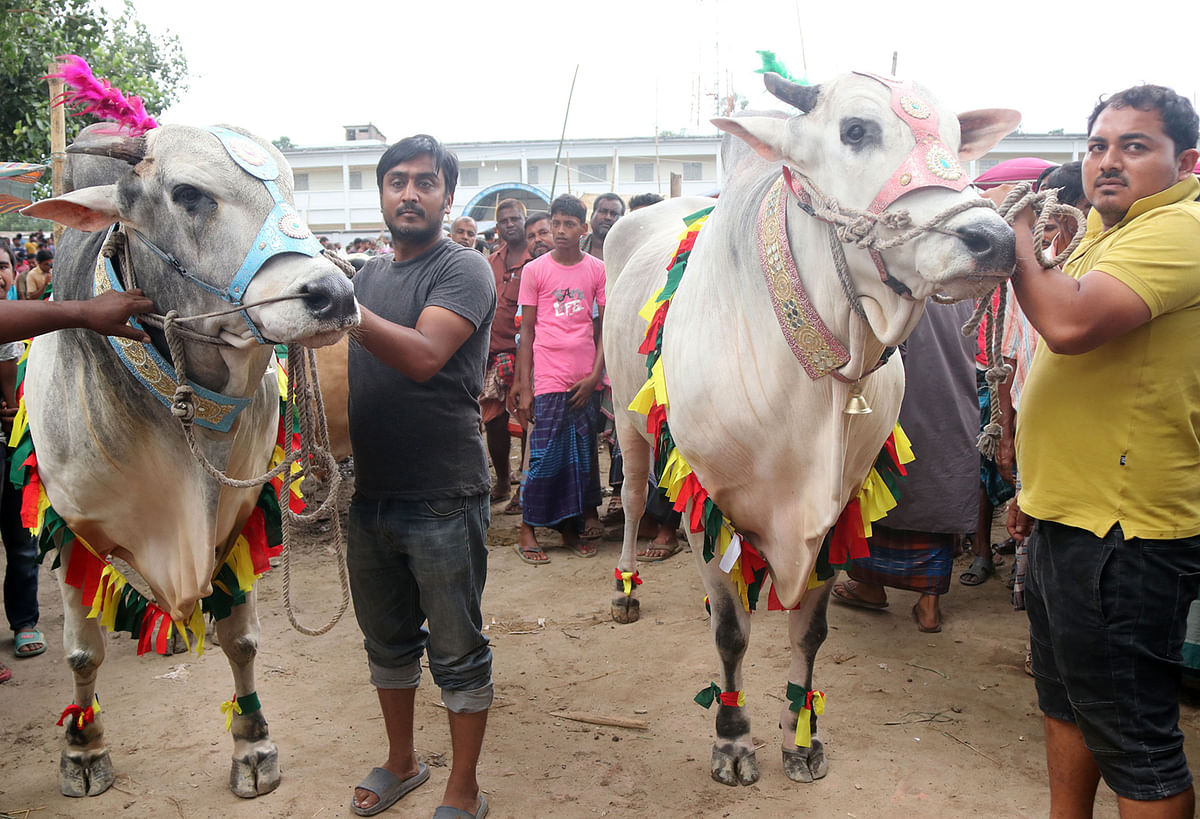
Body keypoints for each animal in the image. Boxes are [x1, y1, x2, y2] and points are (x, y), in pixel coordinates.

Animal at [21, 123, 357, 797]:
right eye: (188, 194)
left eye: (291, 186)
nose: (334, 295)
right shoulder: (70, 526)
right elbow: (82, 652)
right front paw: (82, 750)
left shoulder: (239, 517)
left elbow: (242, 641)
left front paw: (253, 747)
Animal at [604, 71, 1017, 782]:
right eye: (855, 129)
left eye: (957, 138)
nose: (996, 240)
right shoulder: (708, 497)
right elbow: (731, 634)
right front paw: (733, 740)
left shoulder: (839, 506)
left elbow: (810, 631)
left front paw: (801, 733)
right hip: (627, 420)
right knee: (632, 498)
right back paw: (627, 588)